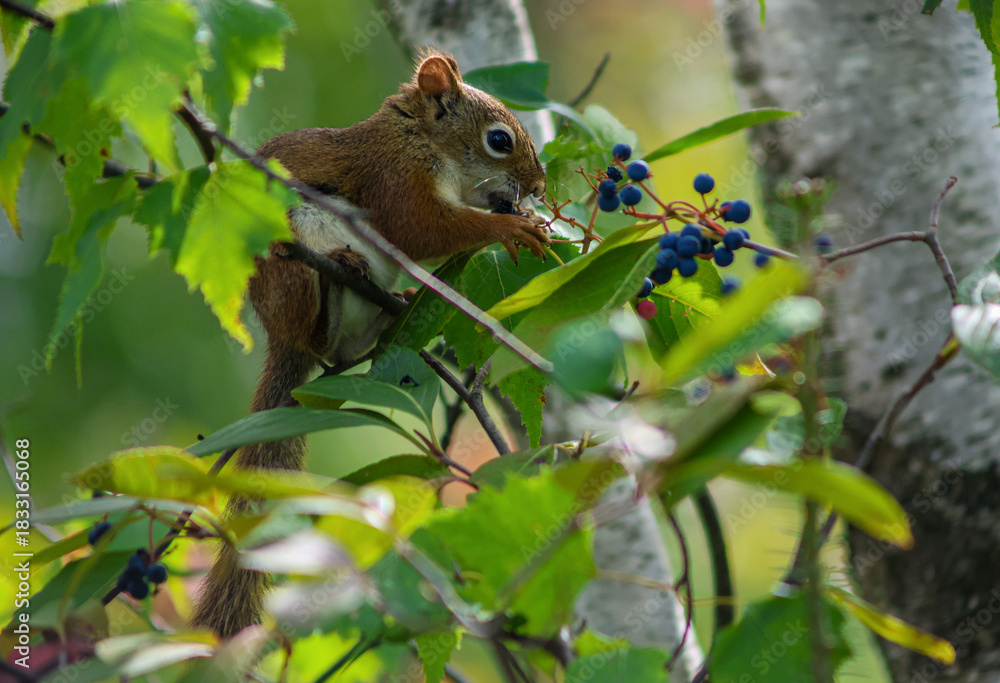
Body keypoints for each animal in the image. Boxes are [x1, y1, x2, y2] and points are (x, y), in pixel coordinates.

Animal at [191, 51, 551, 637]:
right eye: (499, 140)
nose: (539, 186)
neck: (421, 138)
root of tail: (280, 334)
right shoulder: (394, 179)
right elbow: (420, 231)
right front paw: (509, 229)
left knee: (343, 352)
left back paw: (395, 303)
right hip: (295, 253)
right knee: (319, 336)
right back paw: (342, 275)